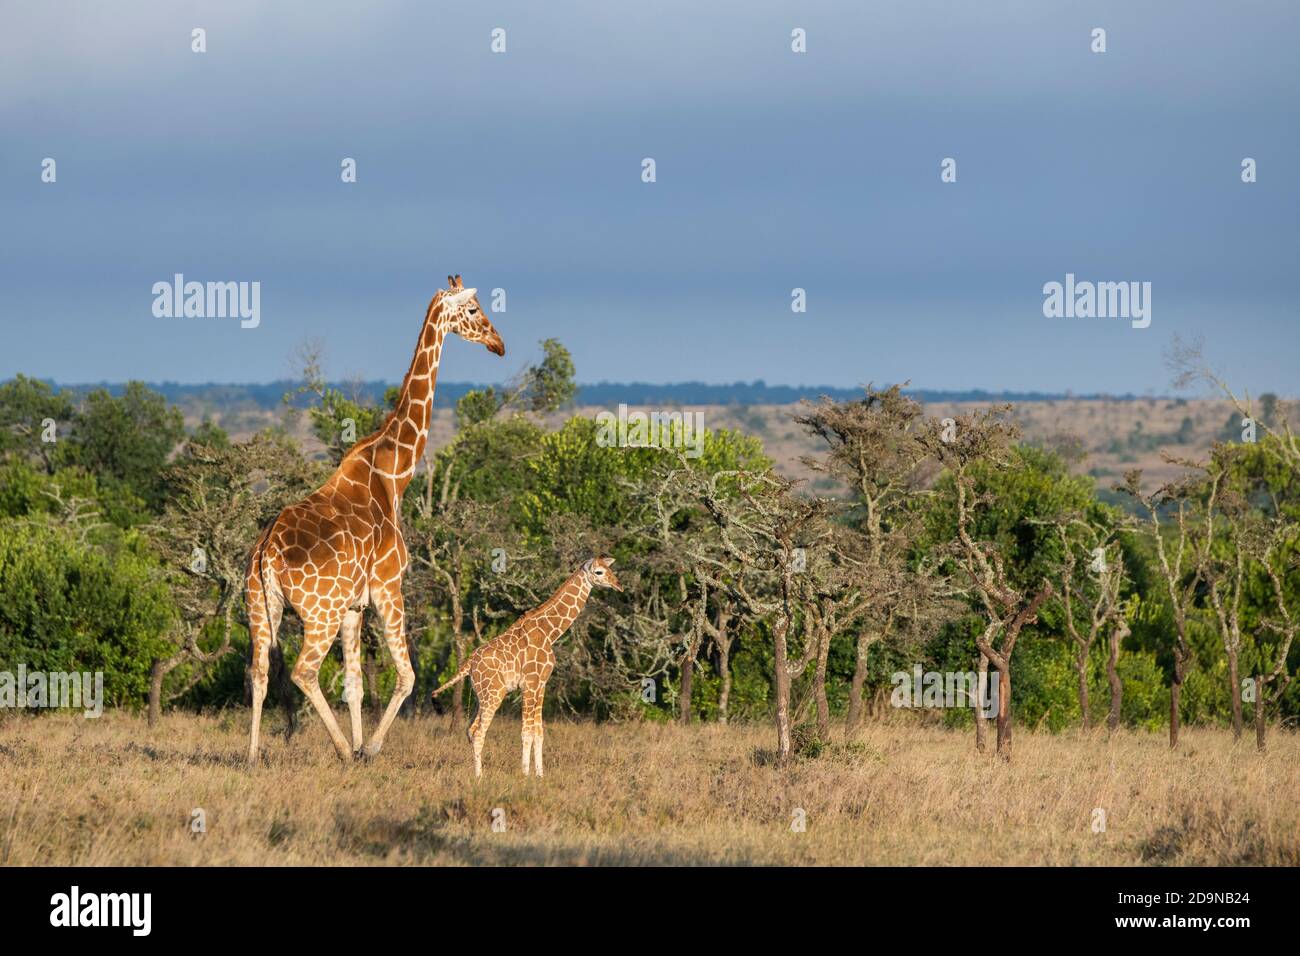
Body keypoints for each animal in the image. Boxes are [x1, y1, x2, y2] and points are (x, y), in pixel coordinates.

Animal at [245, 274, 504, 764]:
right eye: (474, 309)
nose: (499, 344)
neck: (394, 473)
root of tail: (266, 554)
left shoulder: (353, 606)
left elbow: (355, 684)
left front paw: (362, 741)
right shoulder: (388, 586)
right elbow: (407, 677)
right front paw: (369, 748)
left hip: (259, 606)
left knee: (259, 670)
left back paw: (251, 755)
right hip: (318, 612)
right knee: (303, 672)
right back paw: (342, 751)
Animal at [431, 556, 624, 775]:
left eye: (610, 568)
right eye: (599, 572)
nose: (619, 585)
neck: (549, 633)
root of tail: (469, 664)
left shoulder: (541, 685)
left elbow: (538, 732)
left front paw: (539, 774)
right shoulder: (529, 684)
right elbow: (526, 732)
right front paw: (525, 774)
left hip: (482, 695)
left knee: (470, 730)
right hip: (494, 693)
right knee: (479, 732)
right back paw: (479, 776)